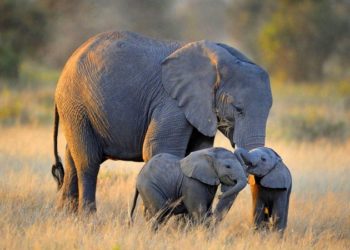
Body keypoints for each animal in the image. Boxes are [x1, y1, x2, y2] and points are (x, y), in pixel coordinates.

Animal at [50, 30, 272, 212]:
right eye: (238, 109)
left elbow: (197, 151)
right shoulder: (171, 102)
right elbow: (159, 148)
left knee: (72, 157)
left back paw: (67, 218)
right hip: (75, 104)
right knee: (88, 161)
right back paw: (89, 220)